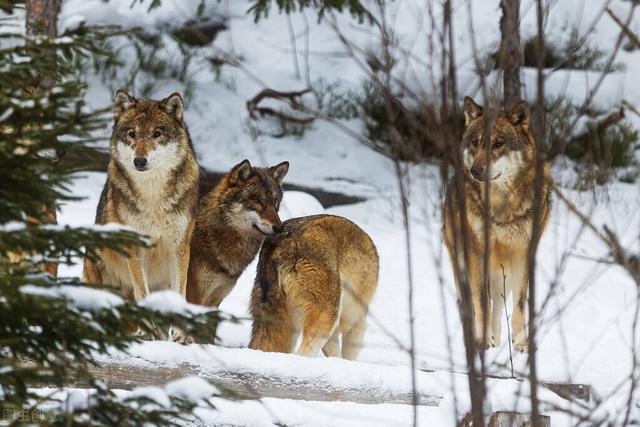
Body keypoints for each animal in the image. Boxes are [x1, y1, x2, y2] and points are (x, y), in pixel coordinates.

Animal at [83, 92, 198, 310]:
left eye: (157, 134)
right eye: (132, 134)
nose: (139, 161)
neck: (153, 196)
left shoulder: (178, 247)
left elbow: (180, 292)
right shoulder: (135, 247)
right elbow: (142, 291)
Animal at [444, 98, 552, 354]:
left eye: (498, 143)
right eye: (475, 143)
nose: (475, 170)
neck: (502, 206)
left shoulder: (524, 253)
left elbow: (520, 305)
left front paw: (522, 343)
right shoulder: (475, 253)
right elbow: (480, 302)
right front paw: (482, 340)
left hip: (505, 273)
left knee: (499, 303)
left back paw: (497, 337)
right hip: (463, 262)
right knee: (473, 301)